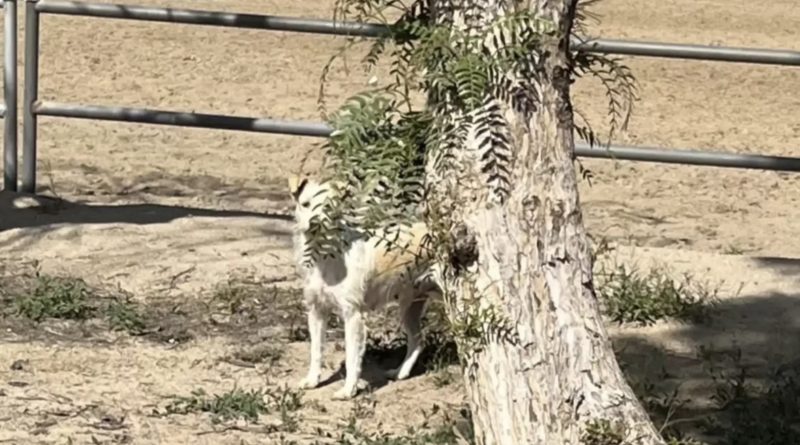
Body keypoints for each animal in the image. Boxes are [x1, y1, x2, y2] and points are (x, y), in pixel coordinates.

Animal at [288, 174, 440, 398]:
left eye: (328, 208)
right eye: (305, 204)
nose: (314, 224)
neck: (324, 256)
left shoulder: (353, 316)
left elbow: (352, 356)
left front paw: (348, 390)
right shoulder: (316, 311)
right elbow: (316, 351)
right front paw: (312, 380)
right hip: (409, 306)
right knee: (417, 340)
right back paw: (400, 373)